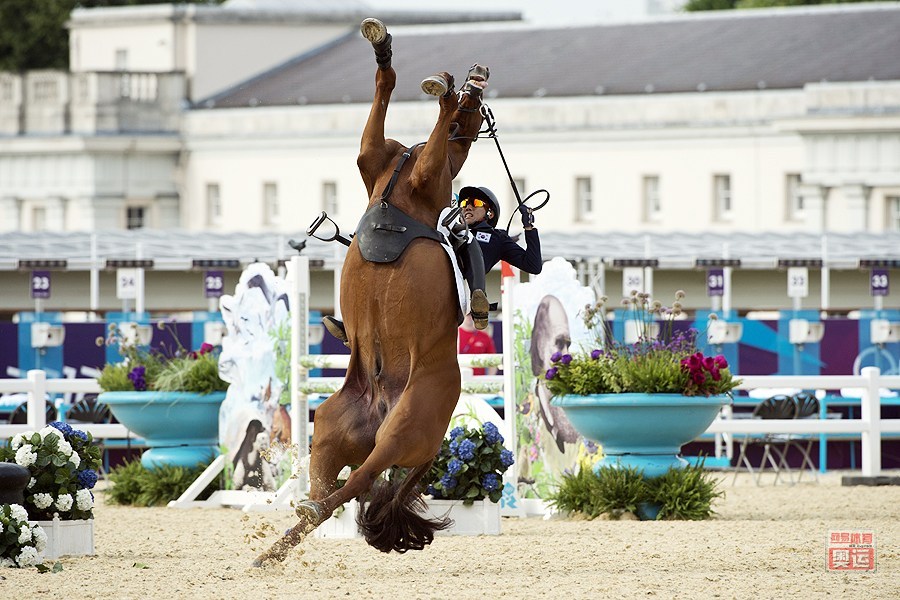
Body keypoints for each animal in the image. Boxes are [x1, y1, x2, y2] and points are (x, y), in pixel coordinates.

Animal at [255, 16, 486, 564]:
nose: (475, 75)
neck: (398, 183)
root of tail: (381, 409)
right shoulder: (373, 158)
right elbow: (383, 93)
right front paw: (387, 49)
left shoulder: (426, 175)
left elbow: (426, 132)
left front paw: (443, 92)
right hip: (329, 429)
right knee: (333, 493)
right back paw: (277, 543)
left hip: (401, 433)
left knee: (355, 484)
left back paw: (284, 536)